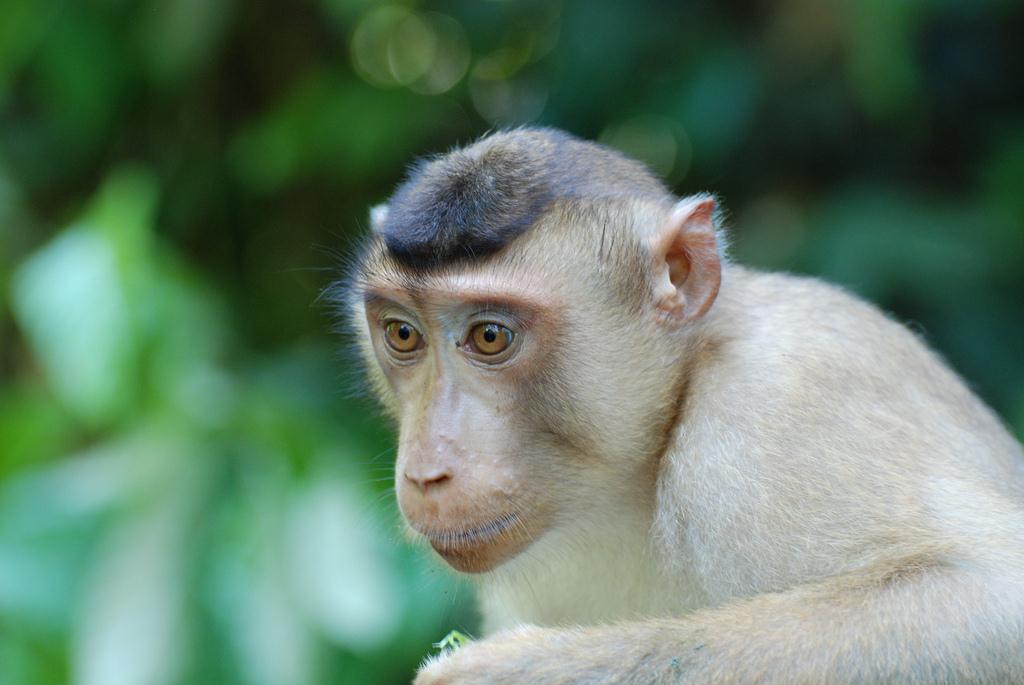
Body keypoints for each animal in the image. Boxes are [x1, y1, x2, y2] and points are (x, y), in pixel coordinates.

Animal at [336, 127, 1024, 684]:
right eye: (403, 334)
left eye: (488, 336)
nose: (427, 471)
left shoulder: (774, 412)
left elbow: (990, 598)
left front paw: (513, 670)